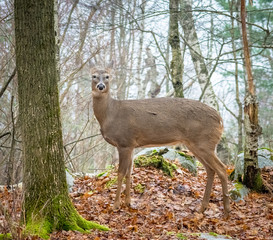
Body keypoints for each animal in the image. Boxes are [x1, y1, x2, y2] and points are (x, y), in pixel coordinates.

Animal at [91, 65, 230, 218]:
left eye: (107, 76)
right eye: (94, 76)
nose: (101, 86)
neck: (109, 114)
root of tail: (220, 119)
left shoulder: (124, 142)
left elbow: (121, 173)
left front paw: (115, 205)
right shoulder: (132, 145)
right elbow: (129, 172)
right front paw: (128, 202)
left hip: (204, 142)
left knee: (222, 169)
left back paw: (226, 211)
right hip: (196, 144)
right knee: (210, 170)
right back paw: (202, 208)